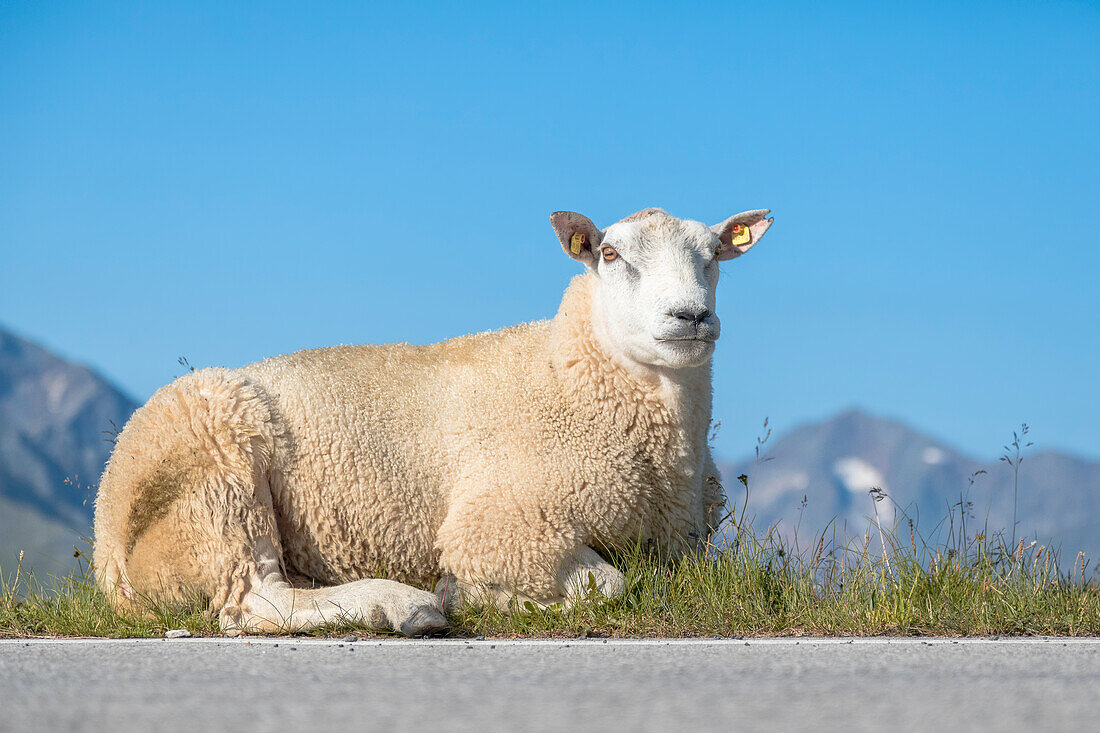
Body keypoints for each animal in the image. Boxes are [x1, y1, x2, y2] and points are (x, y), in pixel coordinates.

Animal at [92, 205, 774, 633]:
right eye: (609, 253)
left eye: (713, 255)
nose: (691, 316)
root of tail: (107, 546)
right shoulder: (501, 524)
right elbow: (608, 587)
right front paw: (475, 595)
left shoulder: (679, 543)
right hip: (216, 475)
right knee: (255, 601)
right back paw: (404, 608)